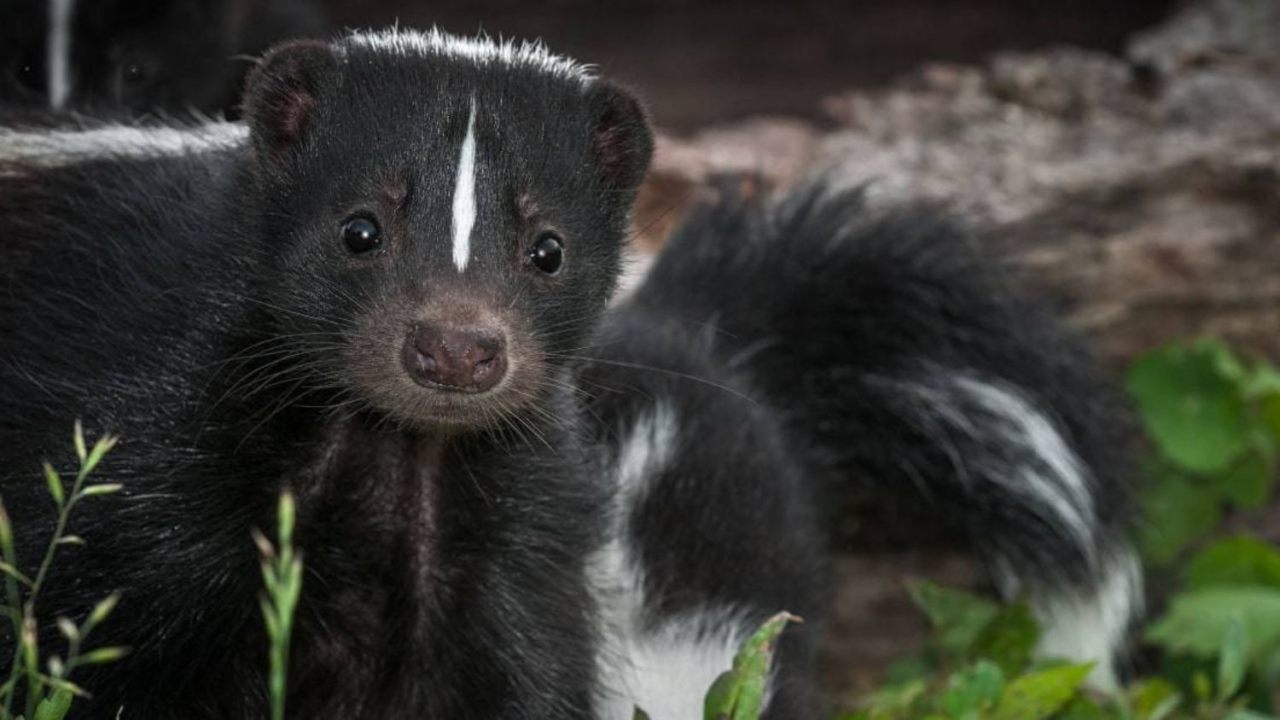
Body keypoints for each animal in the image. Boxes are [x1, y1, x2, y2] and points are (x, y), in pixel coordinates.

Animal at [0, 26, 1141, 717]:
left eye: (546, 250)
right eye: (358, 229)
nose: (456, 348)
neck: (385, 452)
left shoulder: (505, 527)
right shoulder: (148, 434)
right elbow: (111, 640)